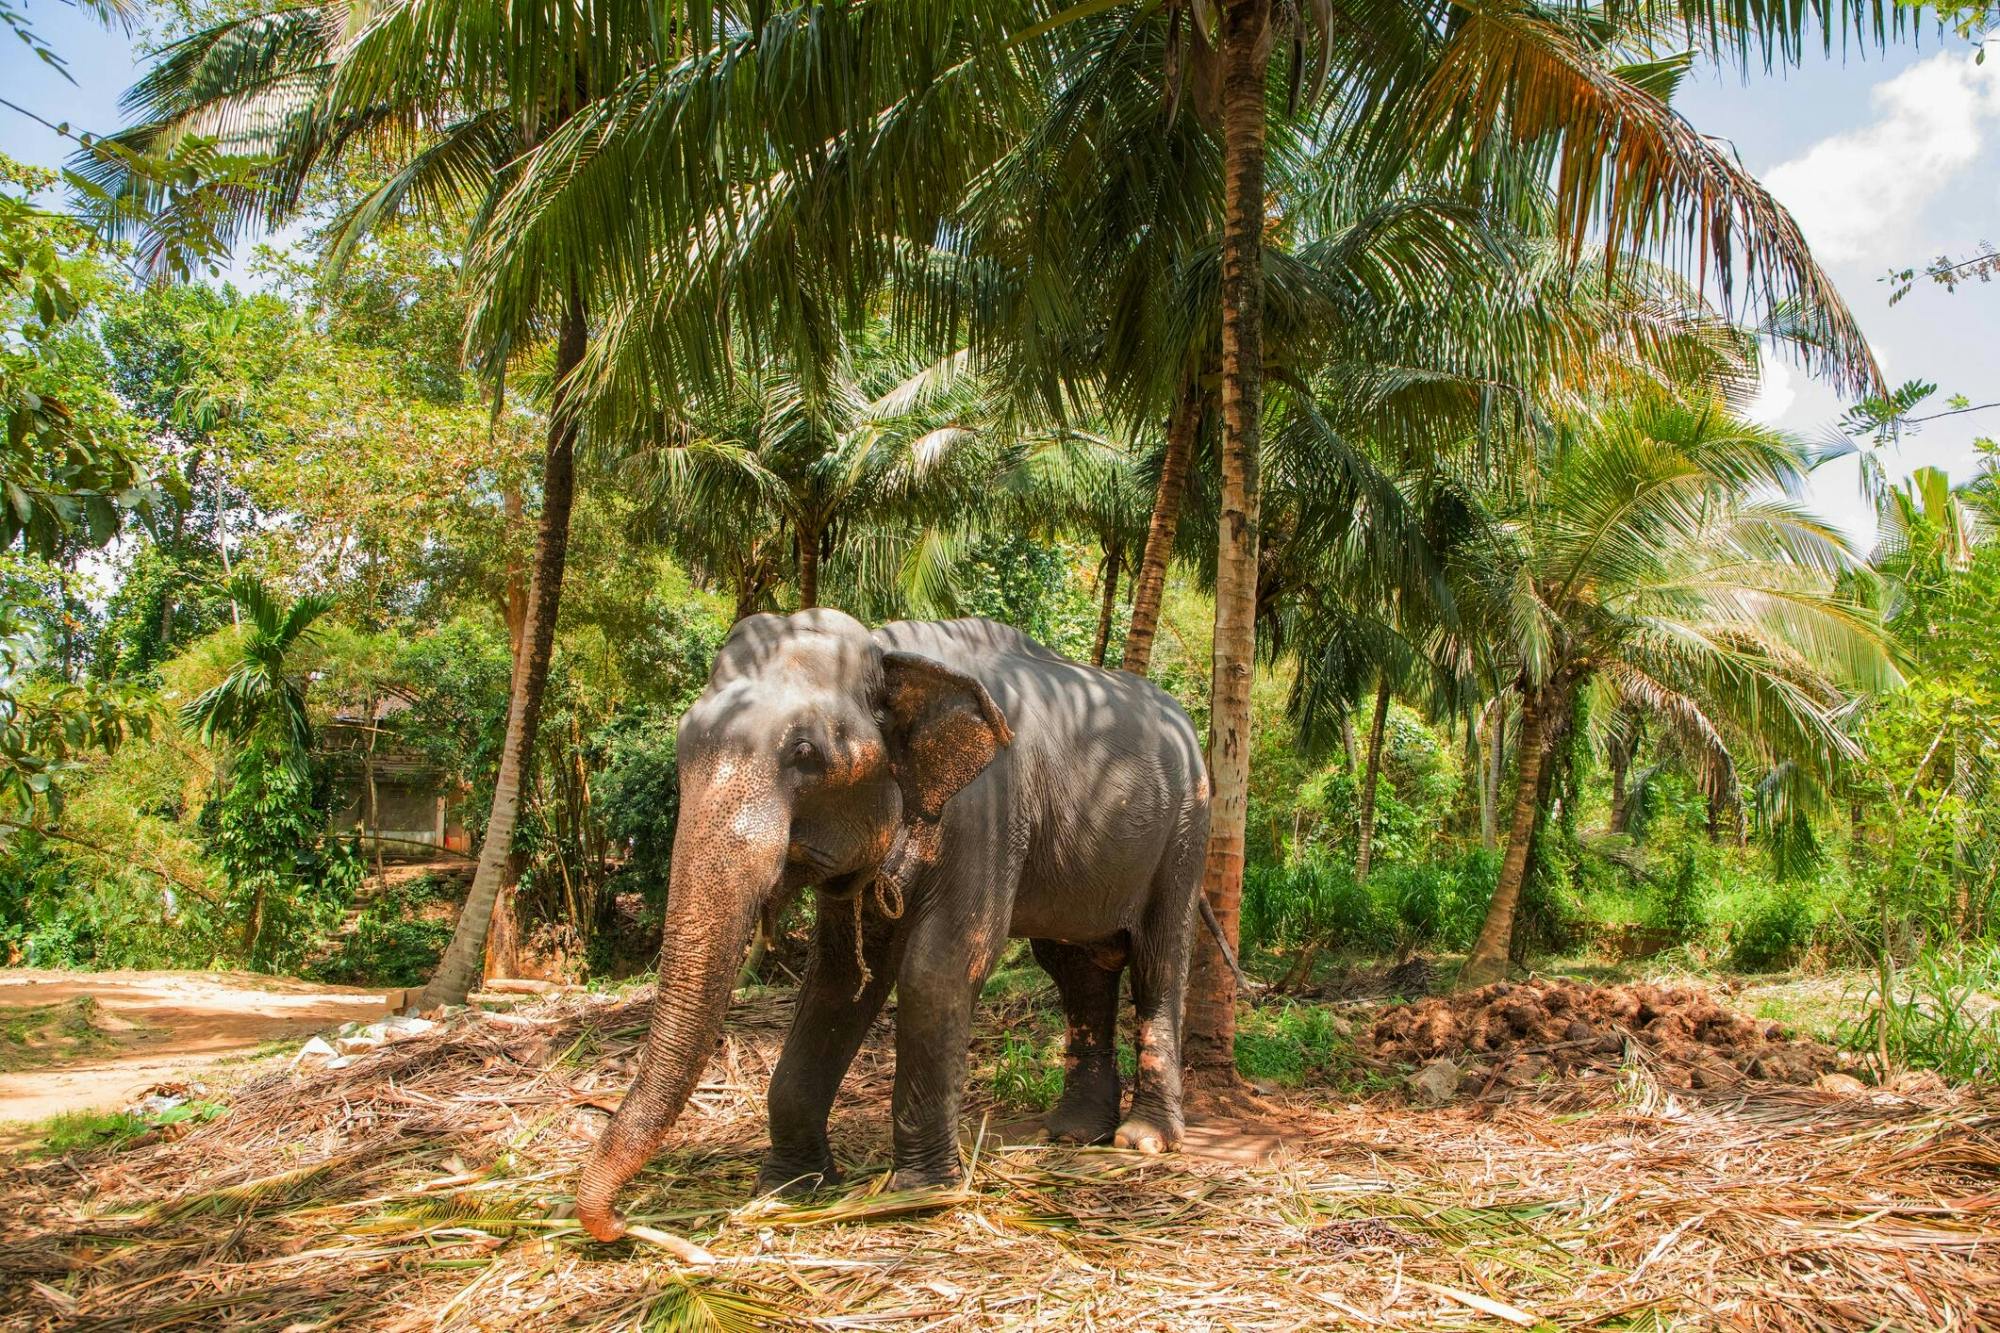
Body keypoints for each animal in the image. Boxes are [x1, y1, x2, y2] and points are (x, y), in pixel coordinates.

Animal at [575, 608, 1210, 1242]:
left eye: (805, 751)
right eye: (684, 741)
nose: (620, 1223)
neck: (889, 652)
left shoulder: (989, 810)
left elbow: (940, 969)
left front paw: (919, 1196)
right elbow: (836, 980)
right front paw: (789, 1189)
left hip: (1187, 829)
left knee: (1158, 962)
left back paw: (1143, 1140)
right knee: (1077, 968)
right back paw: (1073, 1133)